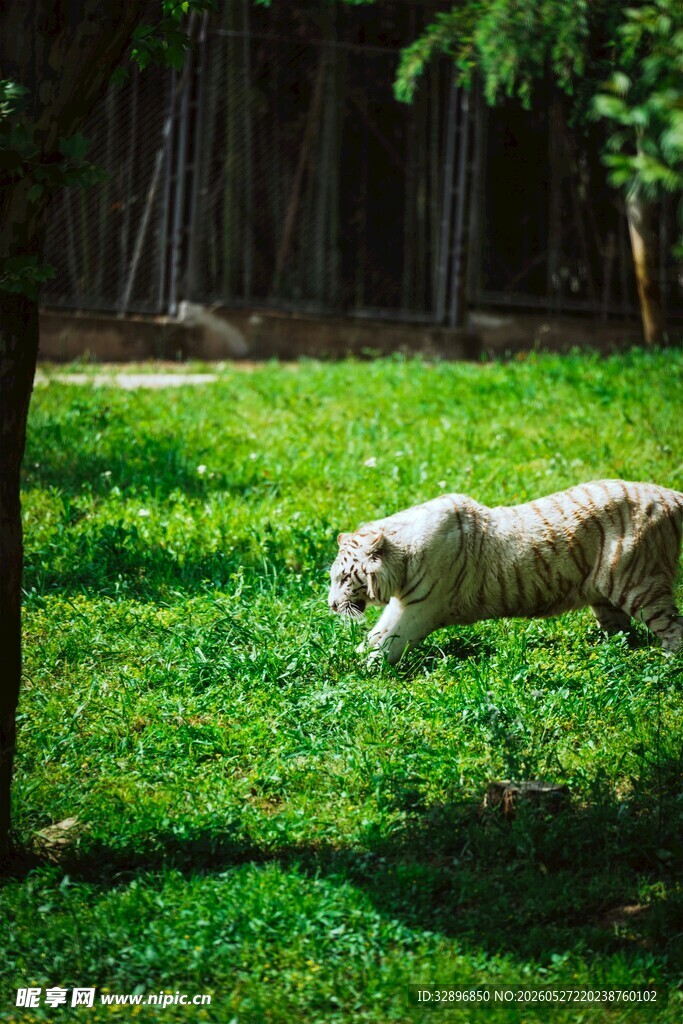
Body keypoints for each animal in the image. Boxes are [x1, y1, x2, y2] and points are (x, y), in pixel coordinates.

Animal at [328, 480, 683, 664]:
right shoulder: (404, 604)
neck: (400, 562)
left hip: (639, 584)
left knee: (673, 629)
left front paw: (358, 669)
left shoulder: (418, 610)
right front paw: (346, 657)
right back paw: (612, 655)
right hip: (606, 598)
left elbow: (387, 640)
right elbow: (376, 635)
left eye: (344, 578)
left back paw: (664, 662)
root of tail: (667, 494)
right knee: (622, 632)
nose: (331, 605)